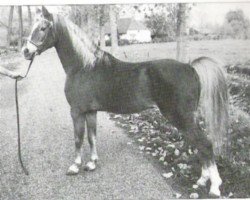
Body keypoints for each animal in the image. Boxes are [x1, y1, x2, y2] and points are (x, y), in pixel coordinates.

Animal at [22, 6, 228, 197]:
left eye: (43, 28)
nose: (26, 51)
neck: (84, 66)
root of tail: (189, 67)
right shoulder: (90, 111)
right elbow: (91, 137)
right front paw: (92, 163)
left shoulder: (77, 111)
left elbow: (78, 138)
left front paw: (75, 166)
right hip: (187, 119)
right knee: (199, 145)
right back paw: (202, 180)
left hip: (182, 118)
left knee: (205, 144)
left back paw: (214, 187)